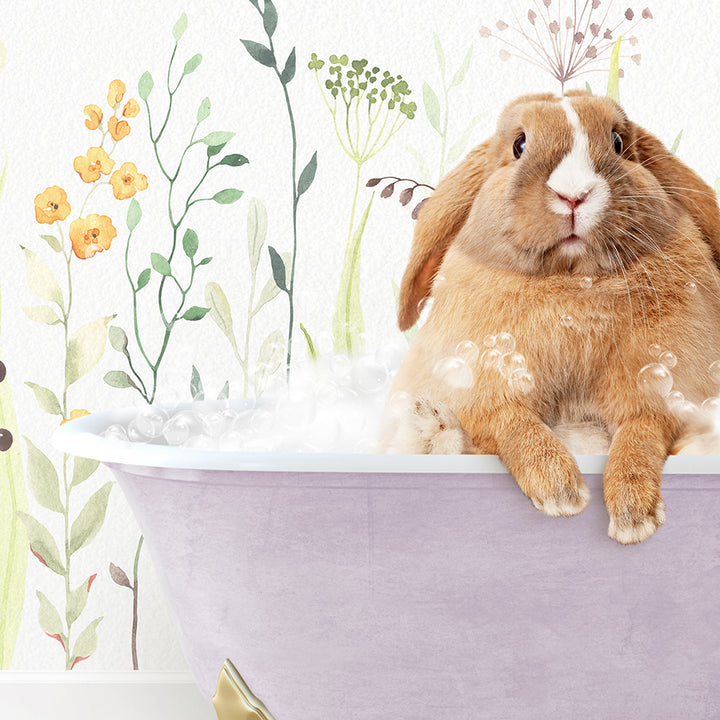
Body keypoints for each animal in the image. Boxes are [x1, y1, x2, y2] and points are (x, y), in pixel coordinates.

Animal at [380, 90, 720, 544]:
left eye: (617, 142)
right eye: (519, 145)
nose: (574, 195)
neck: (572, 283)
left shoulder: (661, 392)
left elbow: (640, 434)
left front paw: (633, 517)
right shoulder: (482, 385)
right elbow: (513, 421)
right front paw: (561, 492)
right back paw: (430, 423)